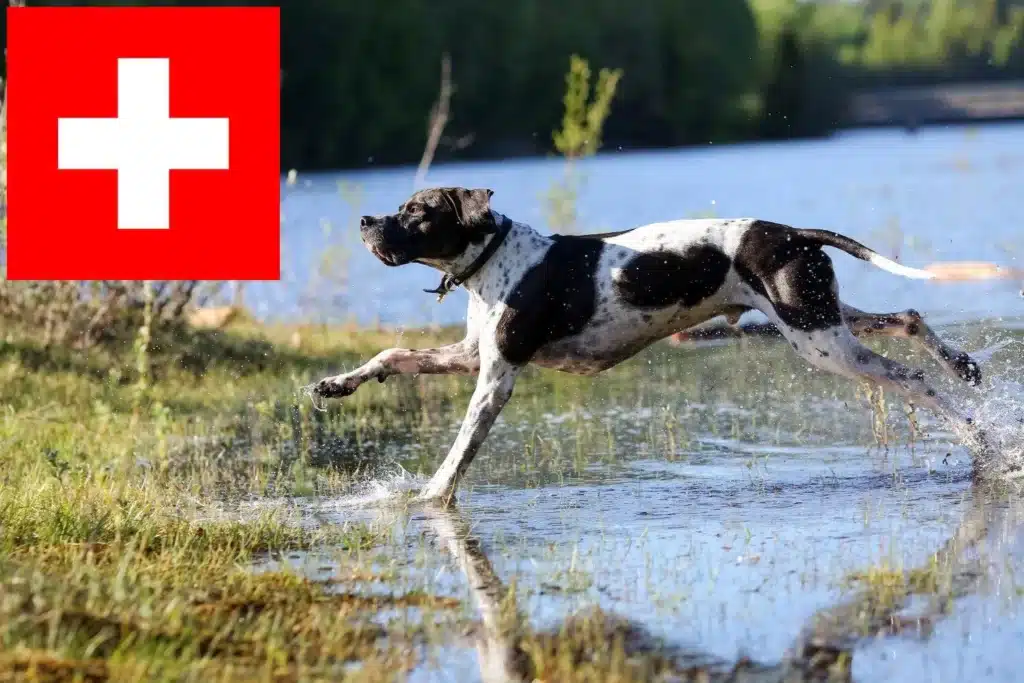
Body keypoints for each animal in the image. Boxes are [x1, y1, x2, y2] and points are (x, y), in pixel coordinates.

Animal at [311, 187, 983, 507]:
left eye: (419, 211)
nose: (367, 222)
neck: (495, 258)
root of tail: (792, 232)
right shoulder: (469, 356)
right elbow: (391, 358)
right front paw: (336, 384)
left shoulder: (496, 379)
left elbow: (458, 453)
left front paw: (429, 498)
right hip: (819, 318)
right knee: (909, 319)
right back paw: (965, 367)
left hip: (820, 342)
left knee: (913, 380)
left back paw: (984, 441)